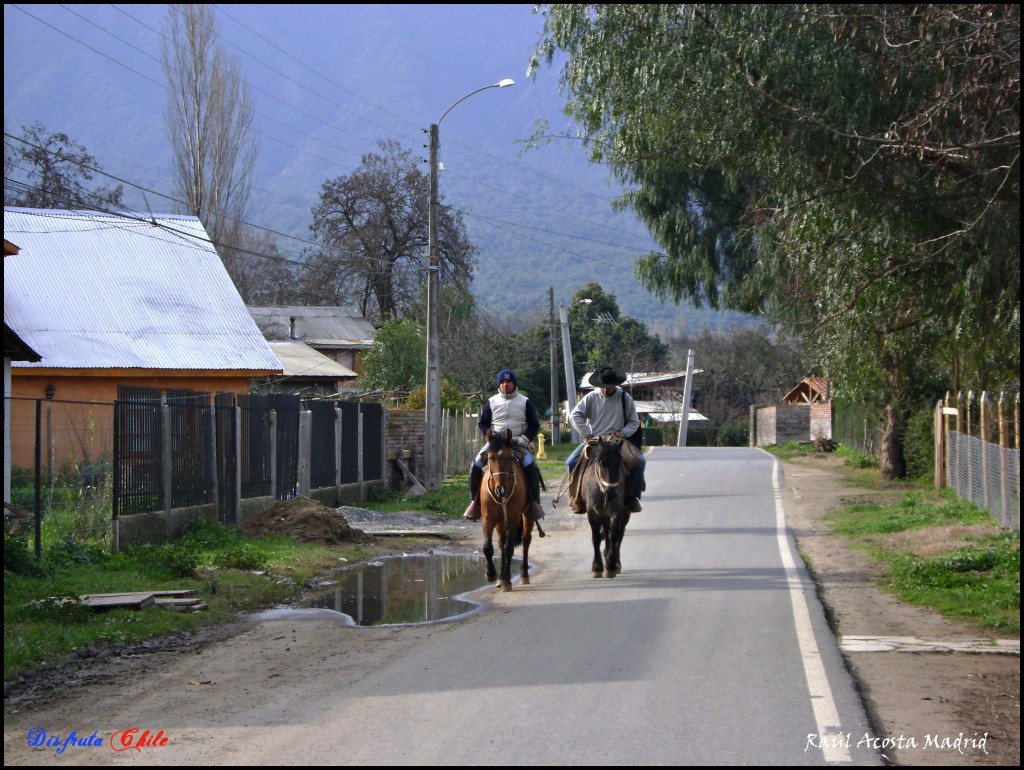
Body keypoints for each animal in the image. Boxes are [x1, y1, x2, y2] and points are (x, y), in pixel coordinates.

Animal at [481, 428, 540, 589]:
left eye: (509, 457)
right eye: (490, 458)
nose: (501, 489)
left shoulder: (514, 517)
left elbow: (509, 548)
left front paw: (506, 579)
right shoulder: (488, 517)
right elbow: (488, 547)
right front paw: (491, 574)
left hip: (527, 515)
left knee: (525, 541)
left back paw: (523, 575)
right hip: (501, 521)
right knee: (501, 543)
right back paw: (500, 578)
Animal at [581, 434, 626, 577]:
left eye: (619, 463)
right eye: (602, 462)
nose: (611, 493)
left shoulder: (617, 512)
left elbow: (614, 535)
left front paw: (611, 566)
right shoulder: (592, 513)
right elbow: (596, 537)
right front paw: (597, 567)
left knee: (619, 535)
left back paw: (616, 562)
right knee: (605, 532)